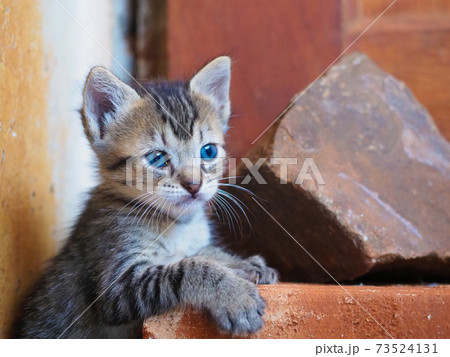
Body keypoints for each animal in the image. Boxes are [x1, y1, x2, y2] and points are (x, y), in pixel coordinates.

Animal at [14, 57, 278, 338]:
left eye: (208, 151)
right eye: (157, 158)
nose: (194, 184)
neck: (177, 224)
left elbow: (202, 252)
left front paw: (243, 264)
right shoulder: (115, 283)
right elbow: (187, 268)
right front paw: (234, 295)